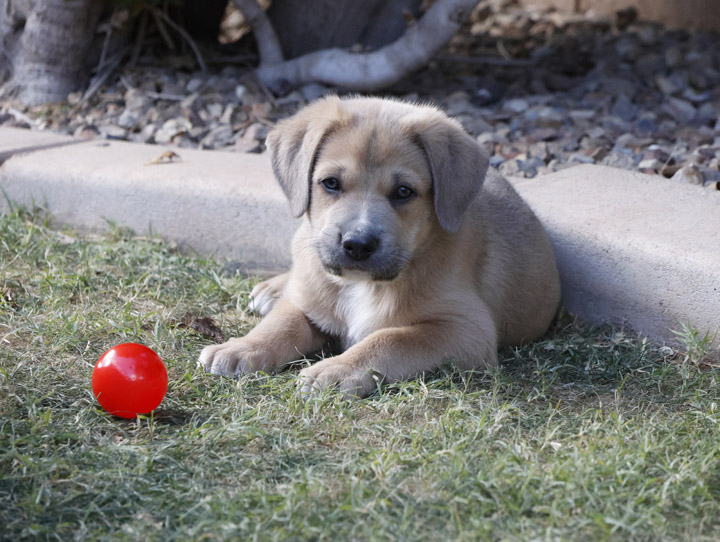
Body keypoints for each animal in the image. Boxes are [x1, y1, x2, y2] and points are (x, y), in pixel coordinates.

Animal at [198, 95, 564, 398]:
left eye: (403, 192)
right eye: (331, 183)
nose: (357, 245)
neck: (364, 285)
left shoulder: (467, 330)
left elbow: (390, 339)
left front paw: (337, 369)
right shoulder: (307, 304)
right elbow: (282, 323)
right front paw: (243, 347)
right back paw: (273, 289)